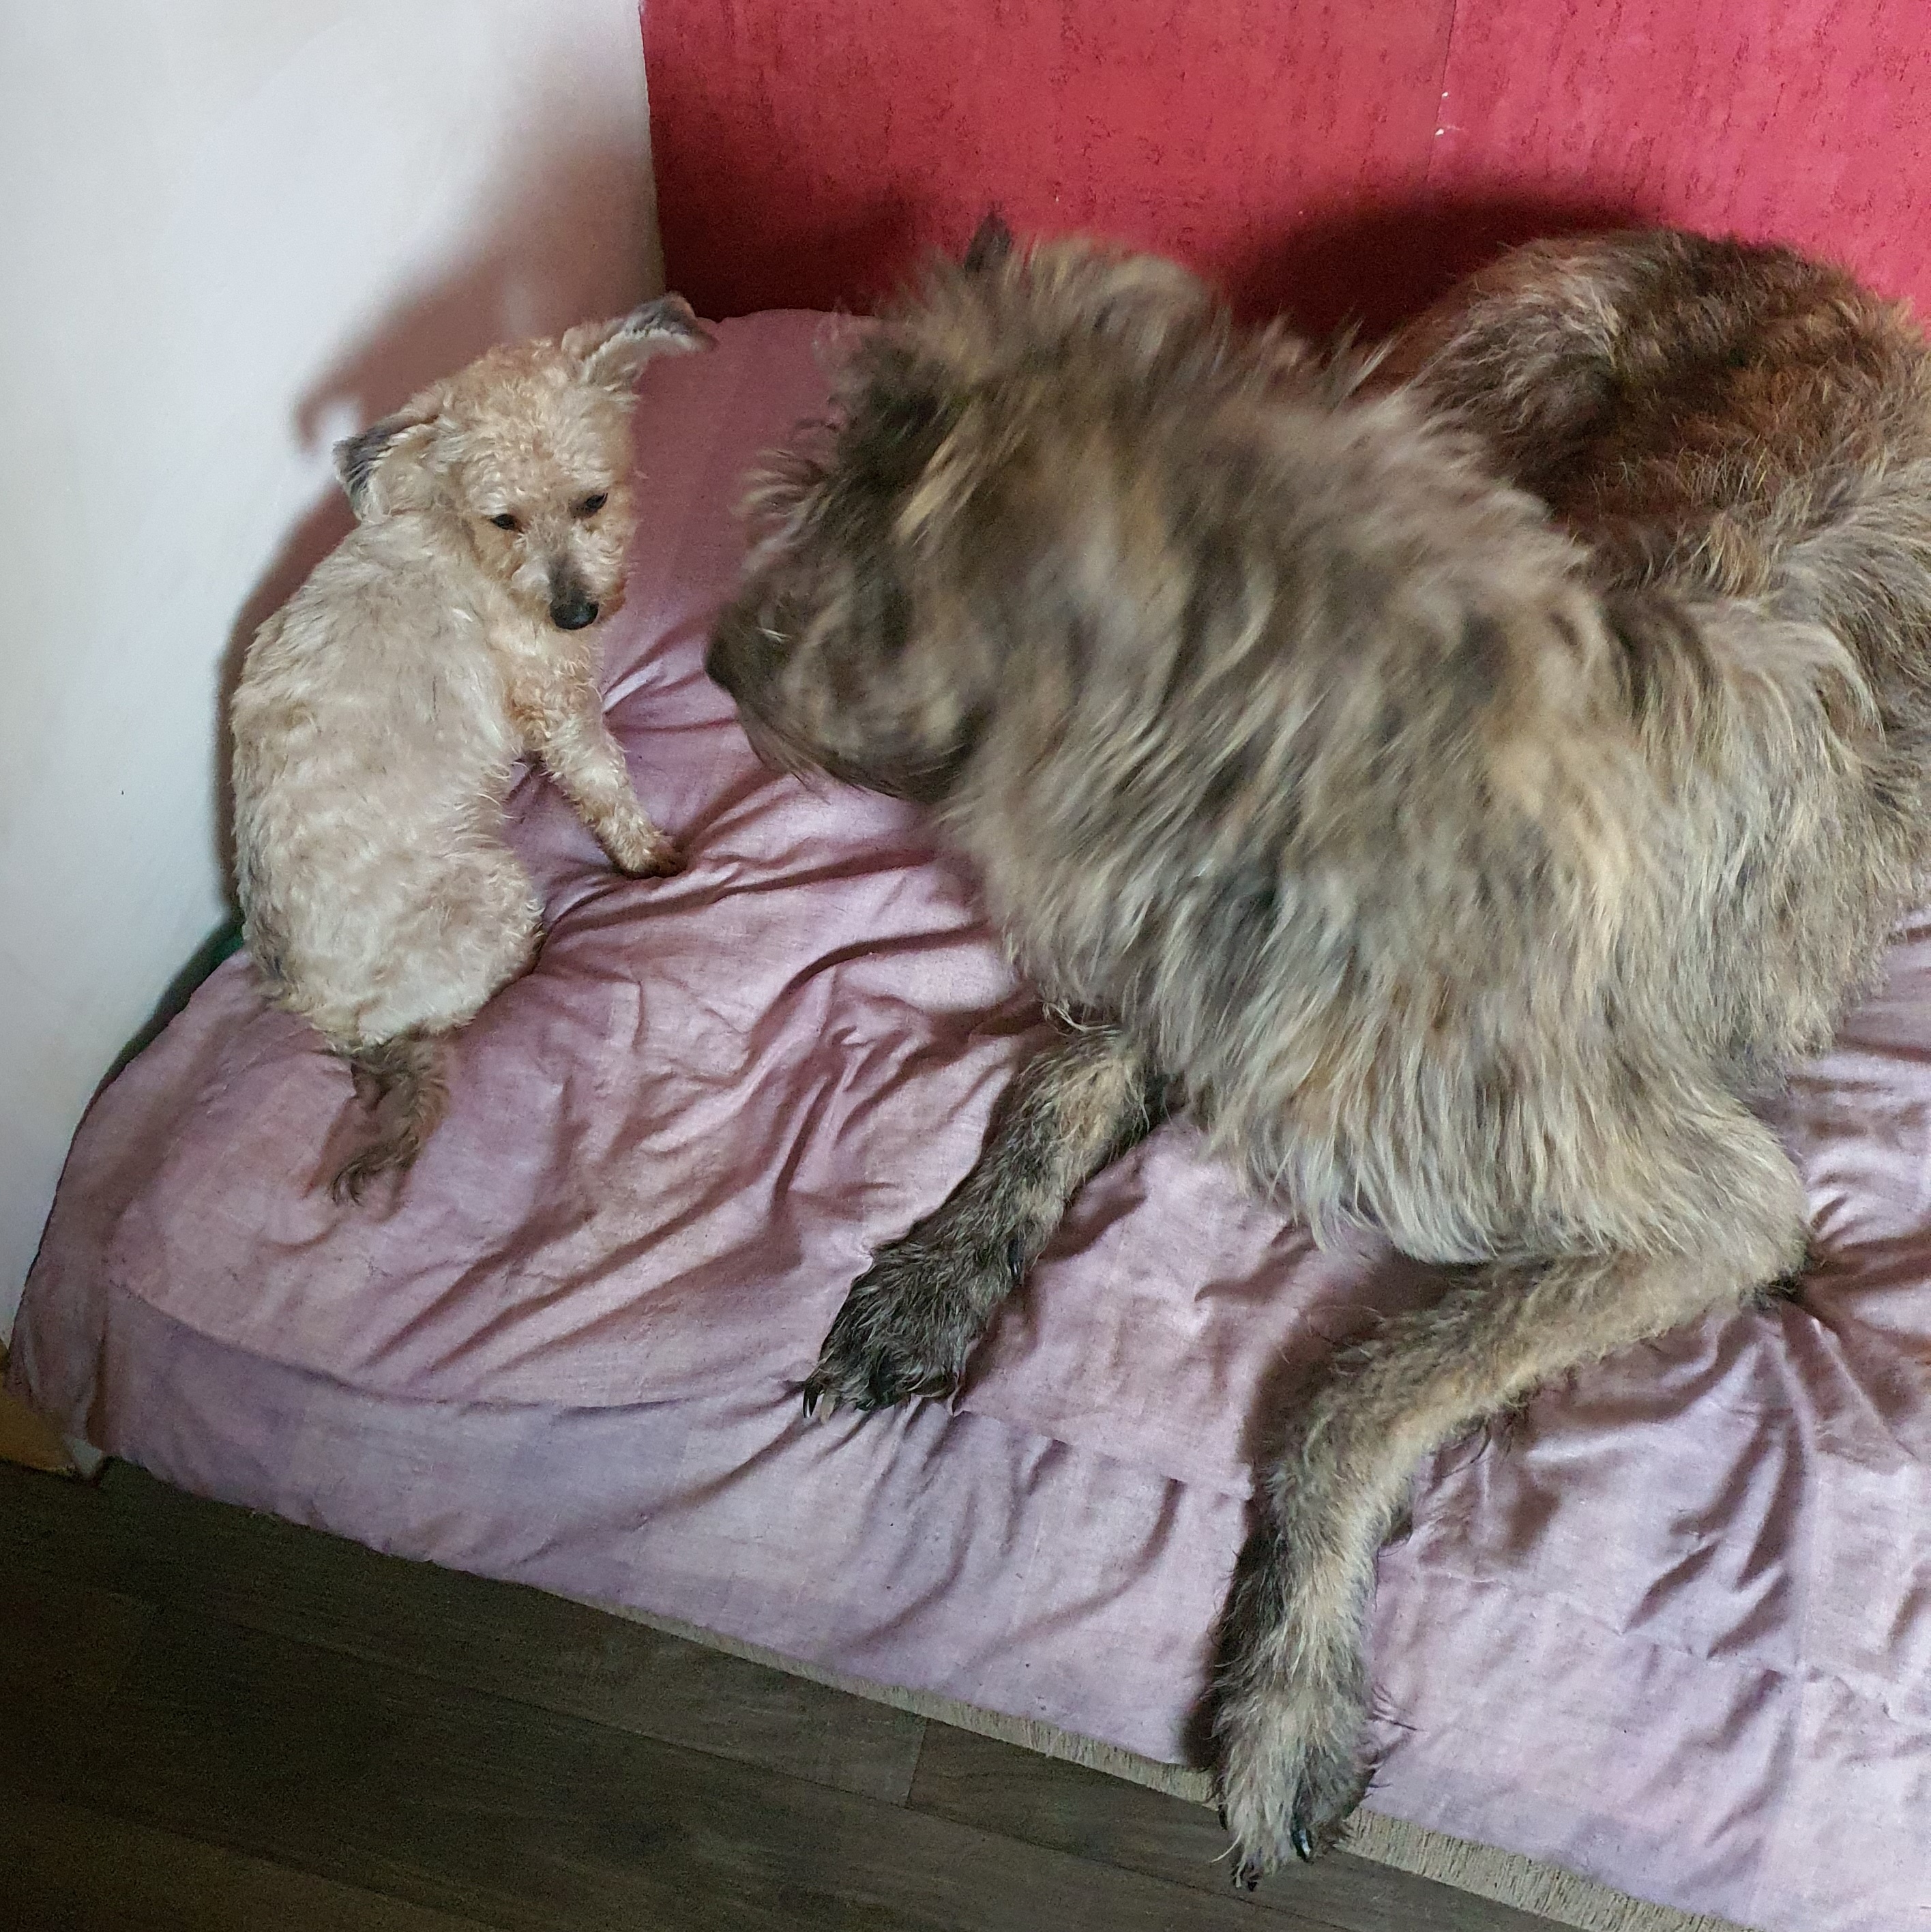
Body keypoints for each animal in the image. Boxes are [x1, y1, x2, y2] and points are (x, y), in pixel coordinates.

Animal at [232, 296, 709, 1200]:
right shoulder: (555, 697)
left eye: (592, 501)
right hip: (492, 889)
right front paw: (649, 855)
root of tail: (329, 1020)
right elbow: (602, 778)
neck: (468, 543)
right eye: (504, 519)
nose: (574, 614)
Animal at [705, 216, 1931, 1882]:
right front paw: (939, 1277)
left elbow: (1356, 1401)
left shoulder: (1707, 1211)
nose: (713, 657)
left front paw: (1287, 1689)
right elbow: (1055, 1090)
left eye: (892, 583)